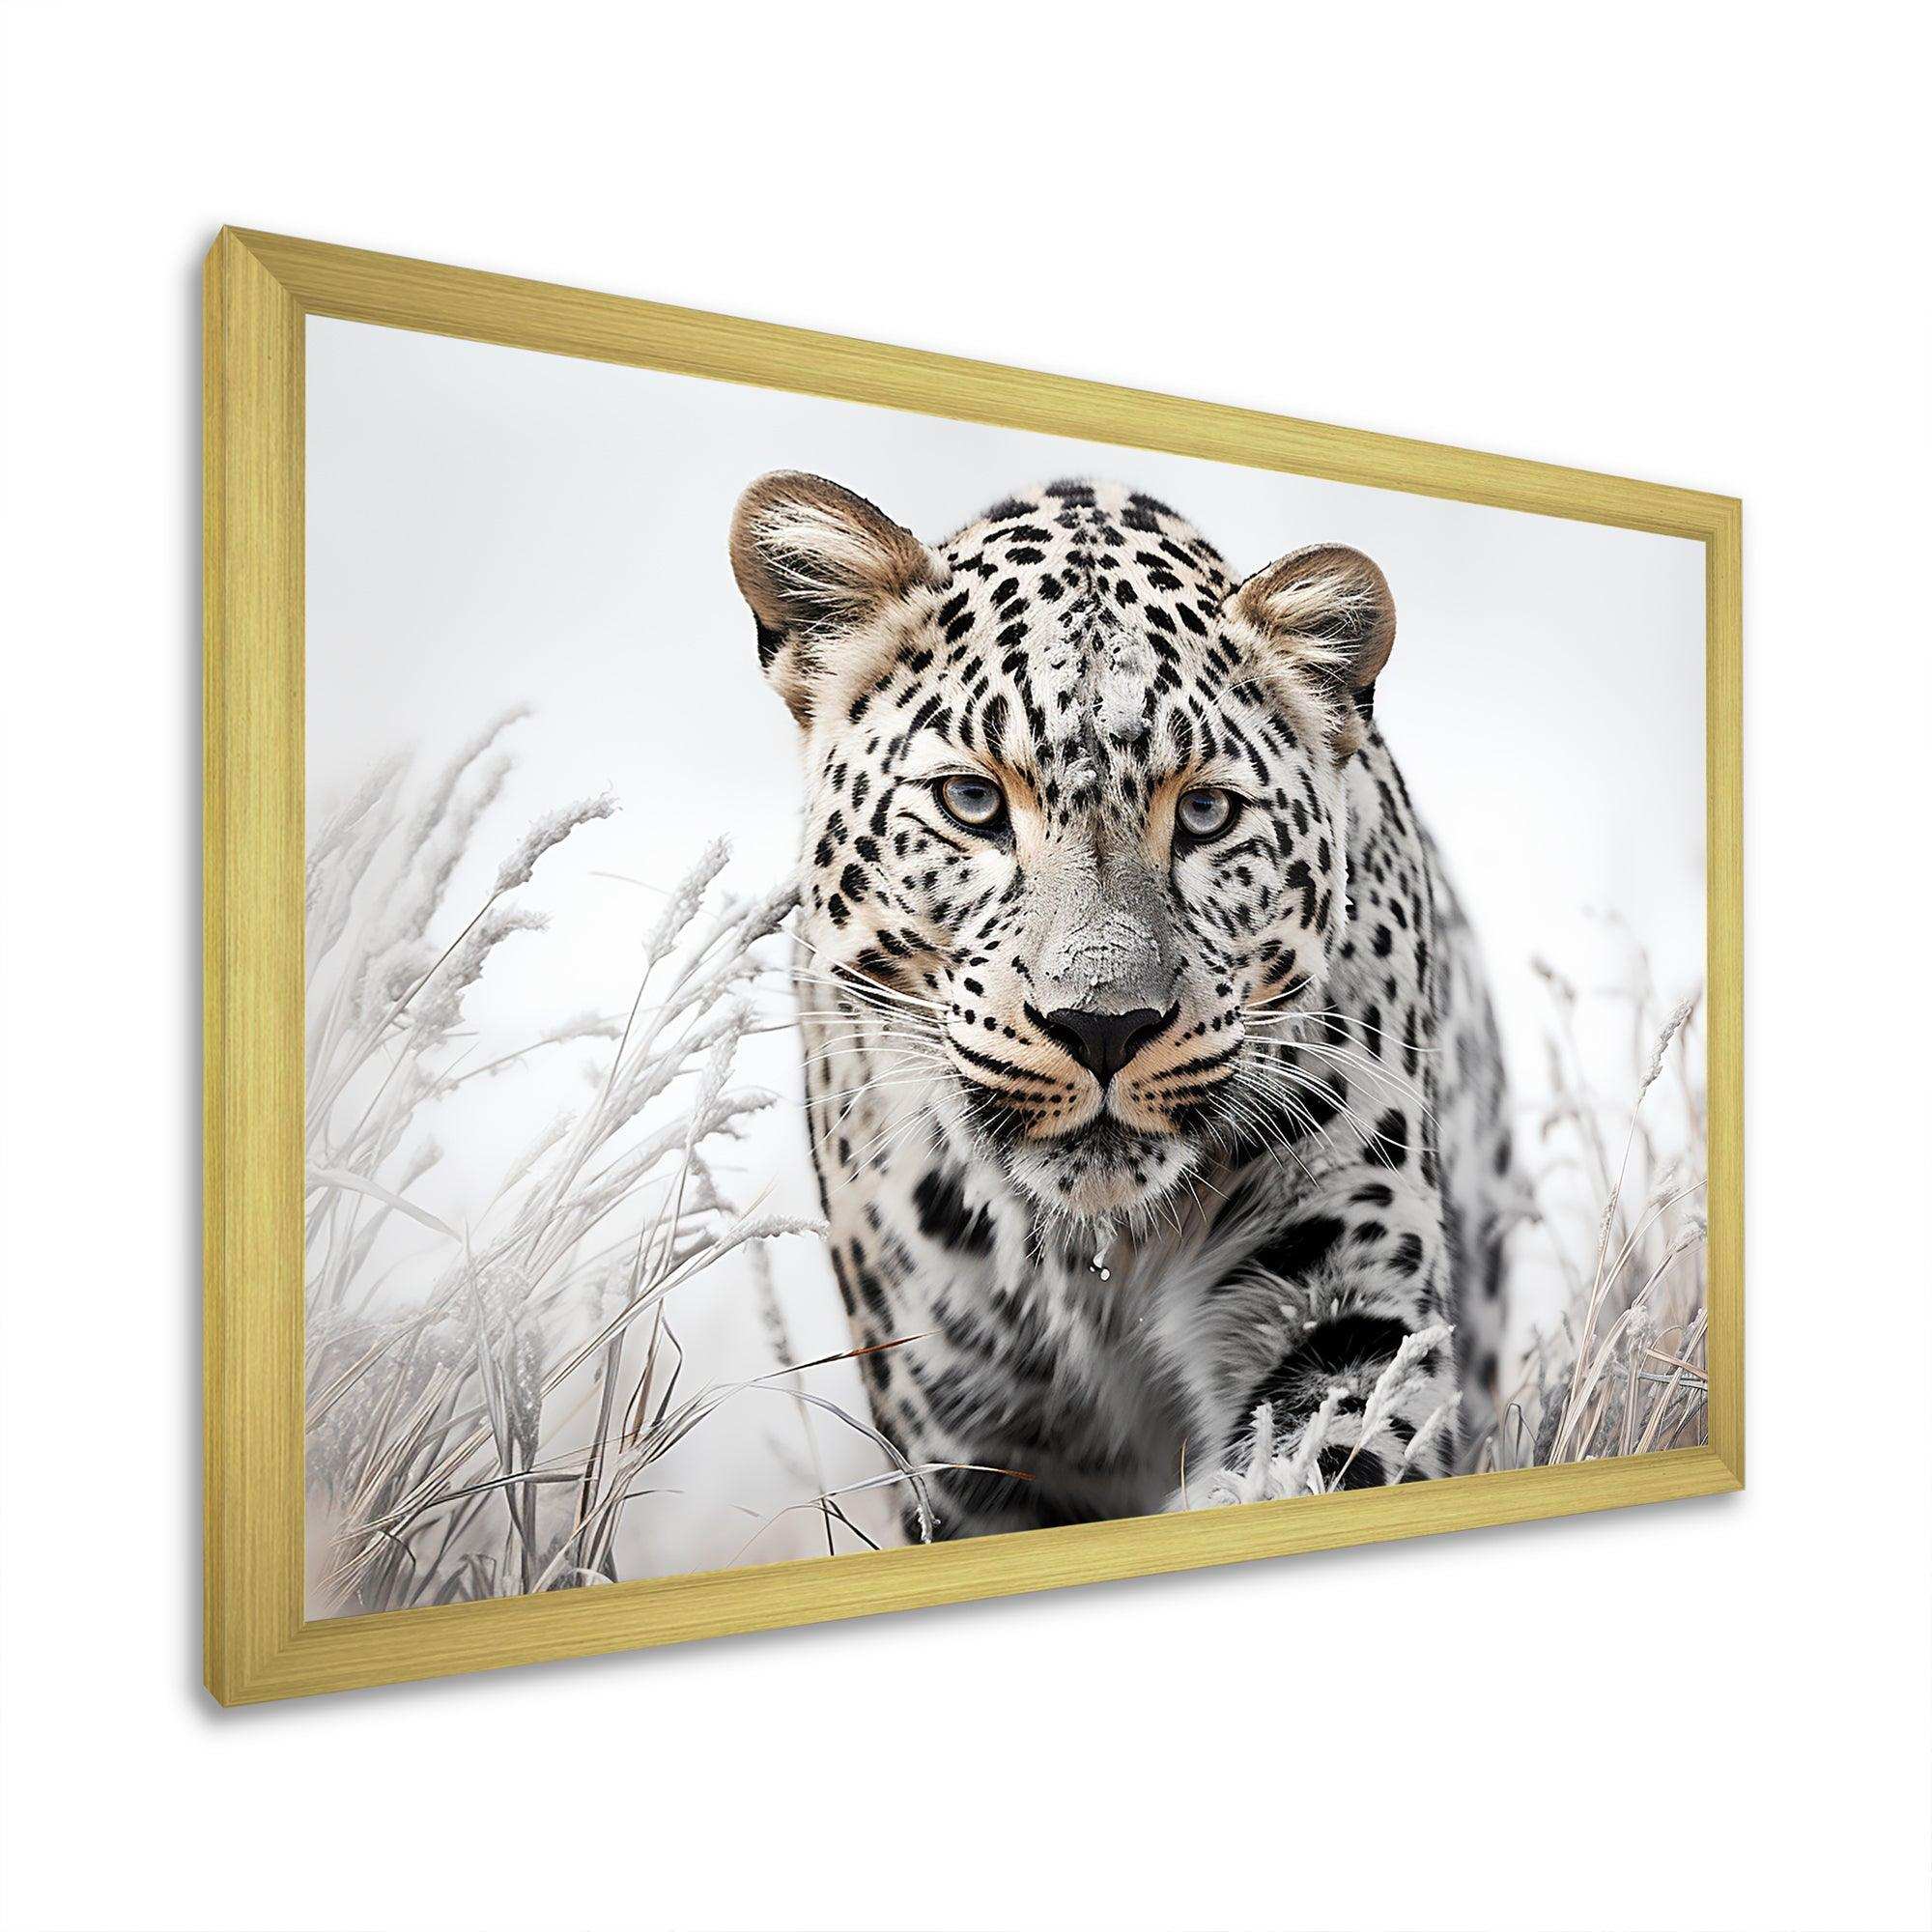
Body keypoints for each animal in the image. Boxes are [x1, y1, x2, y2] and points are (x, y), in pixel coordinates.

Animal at [730, 471, 1514, 1539]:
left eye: (1206, 813)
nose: (1103, 1027)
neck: (1095, 1258)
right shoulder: (962, 1432)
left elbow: (1321, 1460)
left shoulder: (1349, 1303)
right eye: (972, 802)